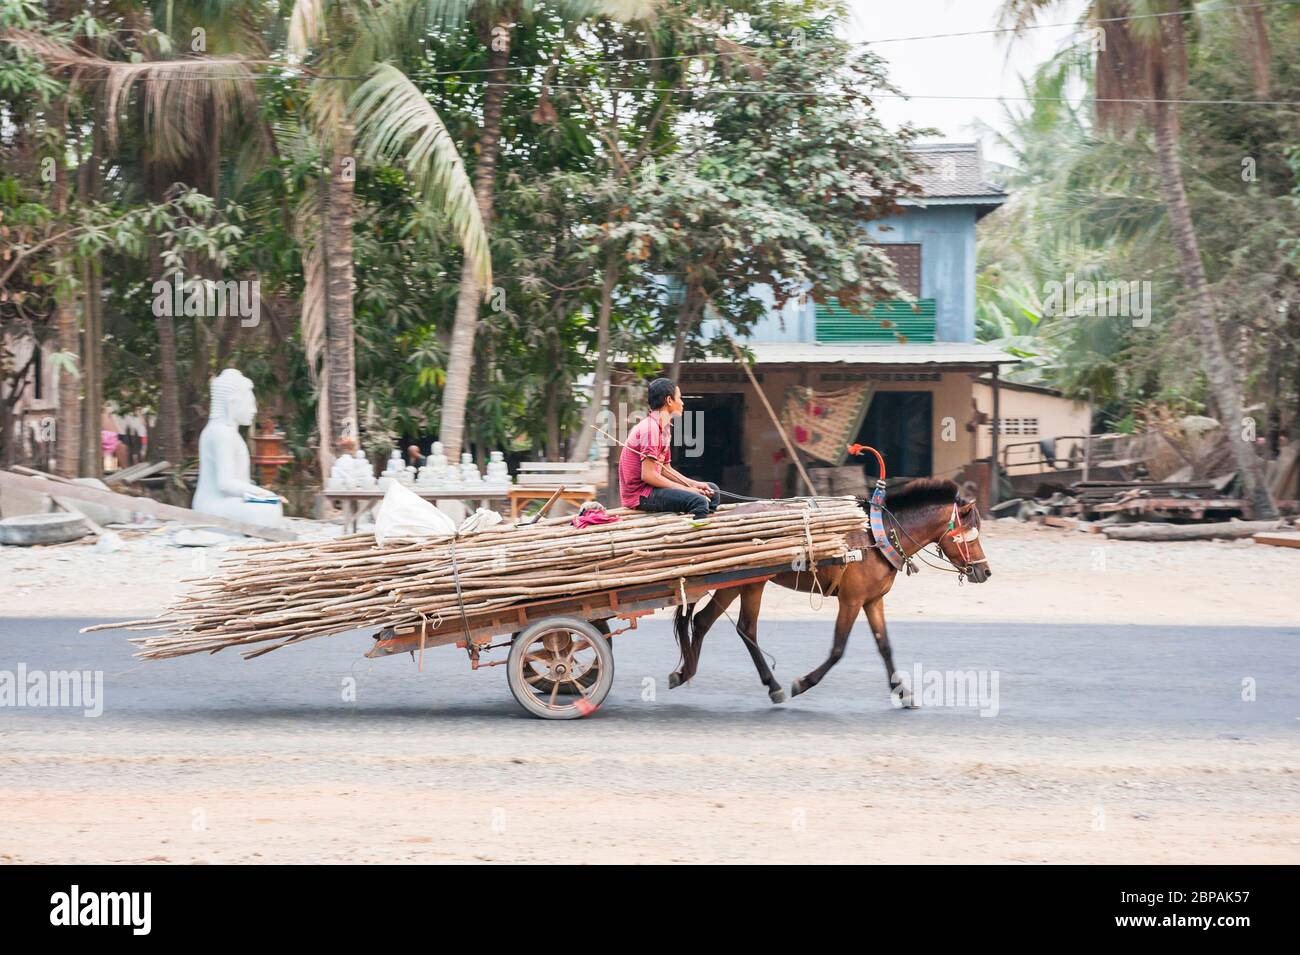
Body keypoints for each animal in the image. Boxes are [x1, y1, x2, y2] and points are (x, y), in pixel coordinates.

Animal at [665, 480, 987, 706]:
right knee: (745, 628)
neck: (878, 535)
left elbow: (885, 647)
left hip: (734, 583)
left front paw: (902, 691)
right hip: (751, 583)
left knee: (703, 621)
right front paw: (803, 682)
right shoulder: (851, 600)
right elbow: (838, 649)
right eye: (971, 535)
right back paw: (774, 686)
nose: (985, 572)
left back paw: (685, 672)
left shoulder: (873, 601)